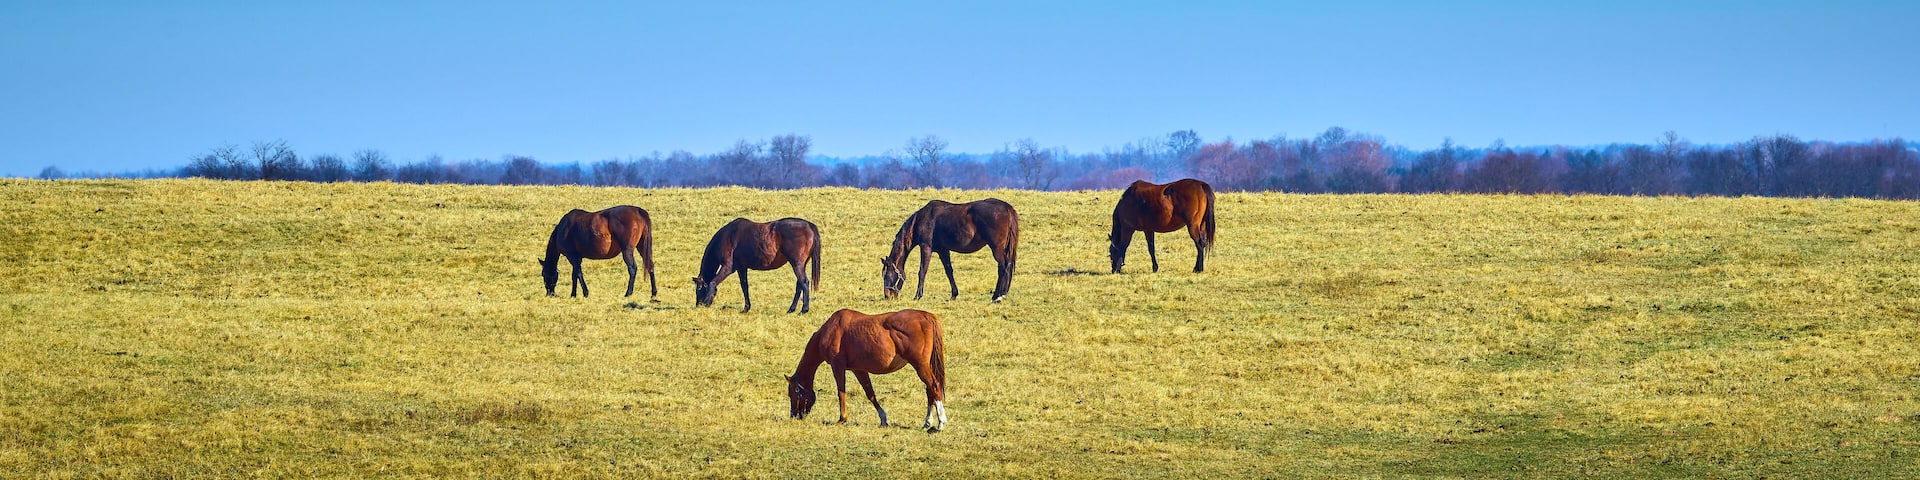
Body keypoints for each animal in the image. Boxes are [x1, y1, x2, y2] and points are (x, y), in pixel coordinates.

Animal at [692, 217, 822, 313]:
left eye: (698, 288)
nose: (698, 305)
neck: (728, 236)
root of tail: (809, 226)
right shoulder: (741, 268)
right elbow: (744, 287)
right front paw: (746, 308)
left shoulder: (727, 267)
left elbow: (713, 282)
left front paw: (706, 302)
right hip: (800, 264)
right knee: (799, 284)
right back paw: (791, 309)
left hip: (797, 264)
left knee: (804, 282)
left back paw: (804, 310)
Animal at [786, 308, 948, 432]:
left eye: (793, 393)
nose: (793, 415)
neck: (832, 330)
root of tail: (926, 316)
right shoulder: (859, 370)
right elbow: (870, 394)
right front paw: (883, 419)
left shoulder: (837, 366)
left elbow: (841, 393)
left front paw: (842, 419)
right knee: (929, 390)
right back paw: (927, 422)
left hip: (920, 365)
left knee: (934, 386)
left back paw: (941, 422)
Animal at [880, 199, 1019, 303]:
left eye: (886, 275)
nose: (887, 296)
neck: (921, 220)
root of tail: (1007, 208)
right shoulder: (943, 250)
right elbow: (949, 271)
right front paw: (954, 295)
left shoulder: (926, 247)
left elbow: (922, 271)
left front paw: (918, 295)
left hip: (996, 248)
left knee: (1003, 267)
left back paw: (997, 296)